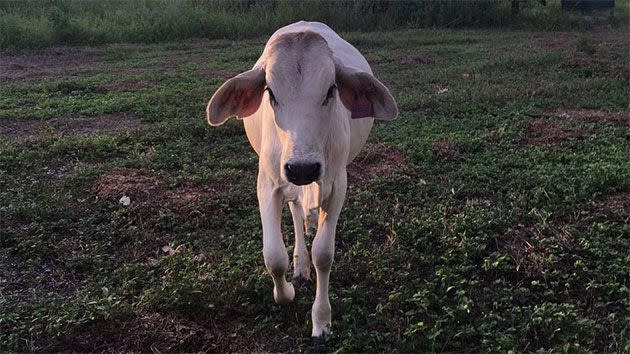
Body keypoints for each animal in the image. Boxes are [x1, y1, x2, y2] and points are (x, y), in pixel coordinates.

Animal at [205, 20, 398, 342]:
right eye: (270, 93)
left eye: (331, 89)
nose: (303, 168)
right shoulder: (268, 184)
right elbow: (273, 256)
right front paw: (286, 292)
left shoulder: (337, 186)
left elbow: (324, 254)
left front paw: (321, 321)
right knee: (295, 212)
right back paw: (300, 264)